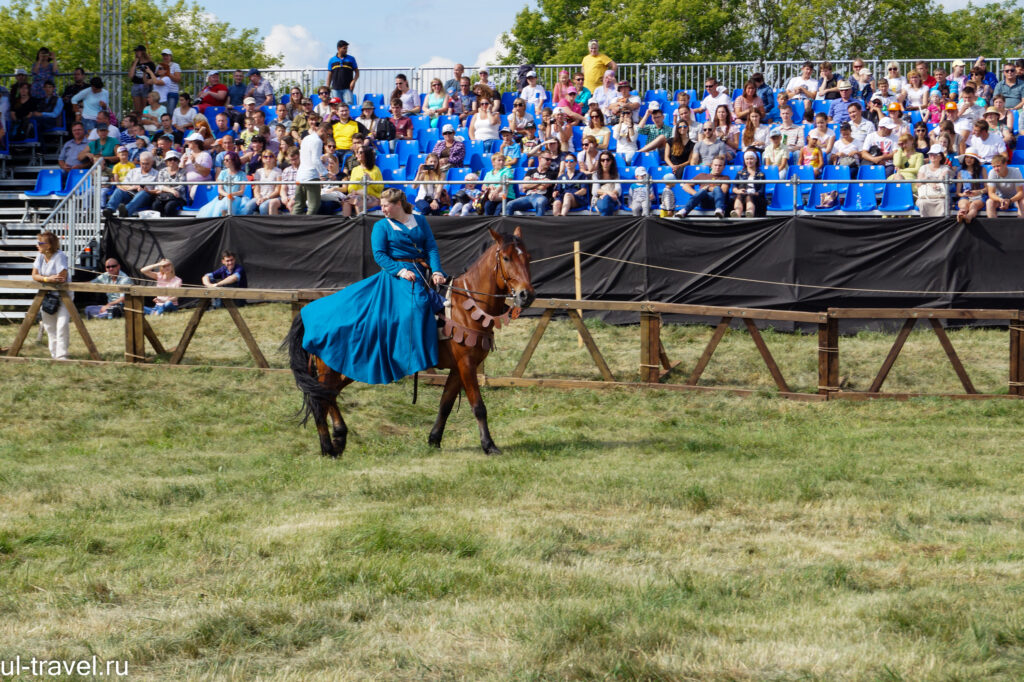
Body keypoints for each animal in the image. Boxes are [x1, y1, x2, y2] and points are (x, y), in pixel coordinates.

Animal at [282, 225, 532, 454]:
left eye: (528, 257)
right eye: (507, 258)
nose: (526, 295)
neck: (467, 306)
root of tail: (309, 311)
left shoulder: (457, 368)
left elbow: (445, 404)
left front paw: (434, 440)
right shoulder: (467, 365)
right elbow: (478, 406)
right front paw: (489, 445)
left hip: (342, 368)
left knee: (329, 394)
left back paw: (340, 437)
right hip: (329, 367)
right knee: (320, 399)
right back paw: (327, 447)